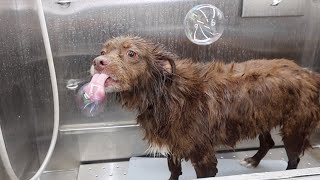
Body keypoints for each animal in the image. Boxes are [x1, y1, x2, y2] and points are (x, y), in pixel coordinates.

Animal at [89, 35, 320, 179]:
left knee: (294, 158)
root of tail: (308, 73)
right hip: (261, 117)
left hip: (294, 129)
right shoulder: (173, 145)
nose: (98, 61)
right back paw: (253, 161)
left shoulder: (203, 156)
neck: (166, 94)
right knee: (268, 142)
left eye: (131, 53)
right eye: (103, 51)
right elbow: (174, 171)